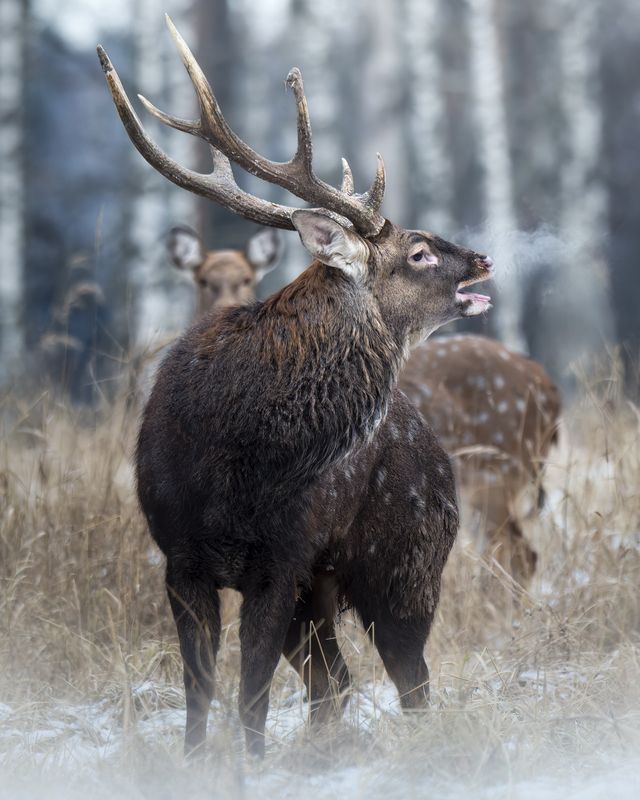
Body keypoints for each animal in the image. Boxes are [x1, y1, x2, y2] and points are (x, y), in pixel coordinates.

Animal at [98, 16, 495, 758]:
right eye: (419, 251)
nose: (482, 256)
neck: (237, 449)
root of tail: (436, 448)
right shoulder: (181, 558)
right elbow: (201, 698)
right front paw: (198, 763)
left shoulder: (280, 559)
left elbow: (249, 701)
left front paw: (248, 767)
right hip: (328, 585)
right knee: (334, 683)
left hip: (406, 560)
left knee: (411, 682)